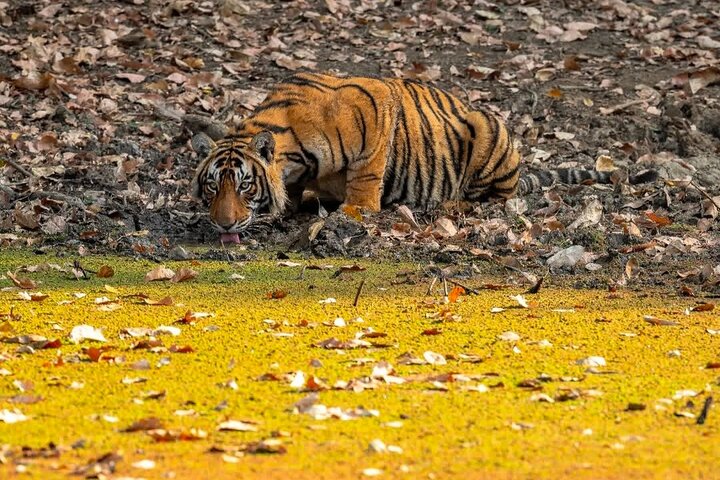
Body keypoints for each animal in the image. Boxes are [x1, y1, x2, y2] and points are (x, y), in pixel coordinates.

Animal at [190, 73, 656, 242]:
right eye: (213, 186)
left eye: (244, 186)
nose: (223, 224)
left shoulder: (376, 108)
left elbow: (366, 175)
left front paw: (354, 210)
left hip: (488, 130)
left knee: (495, 199)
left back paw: (449, 204)